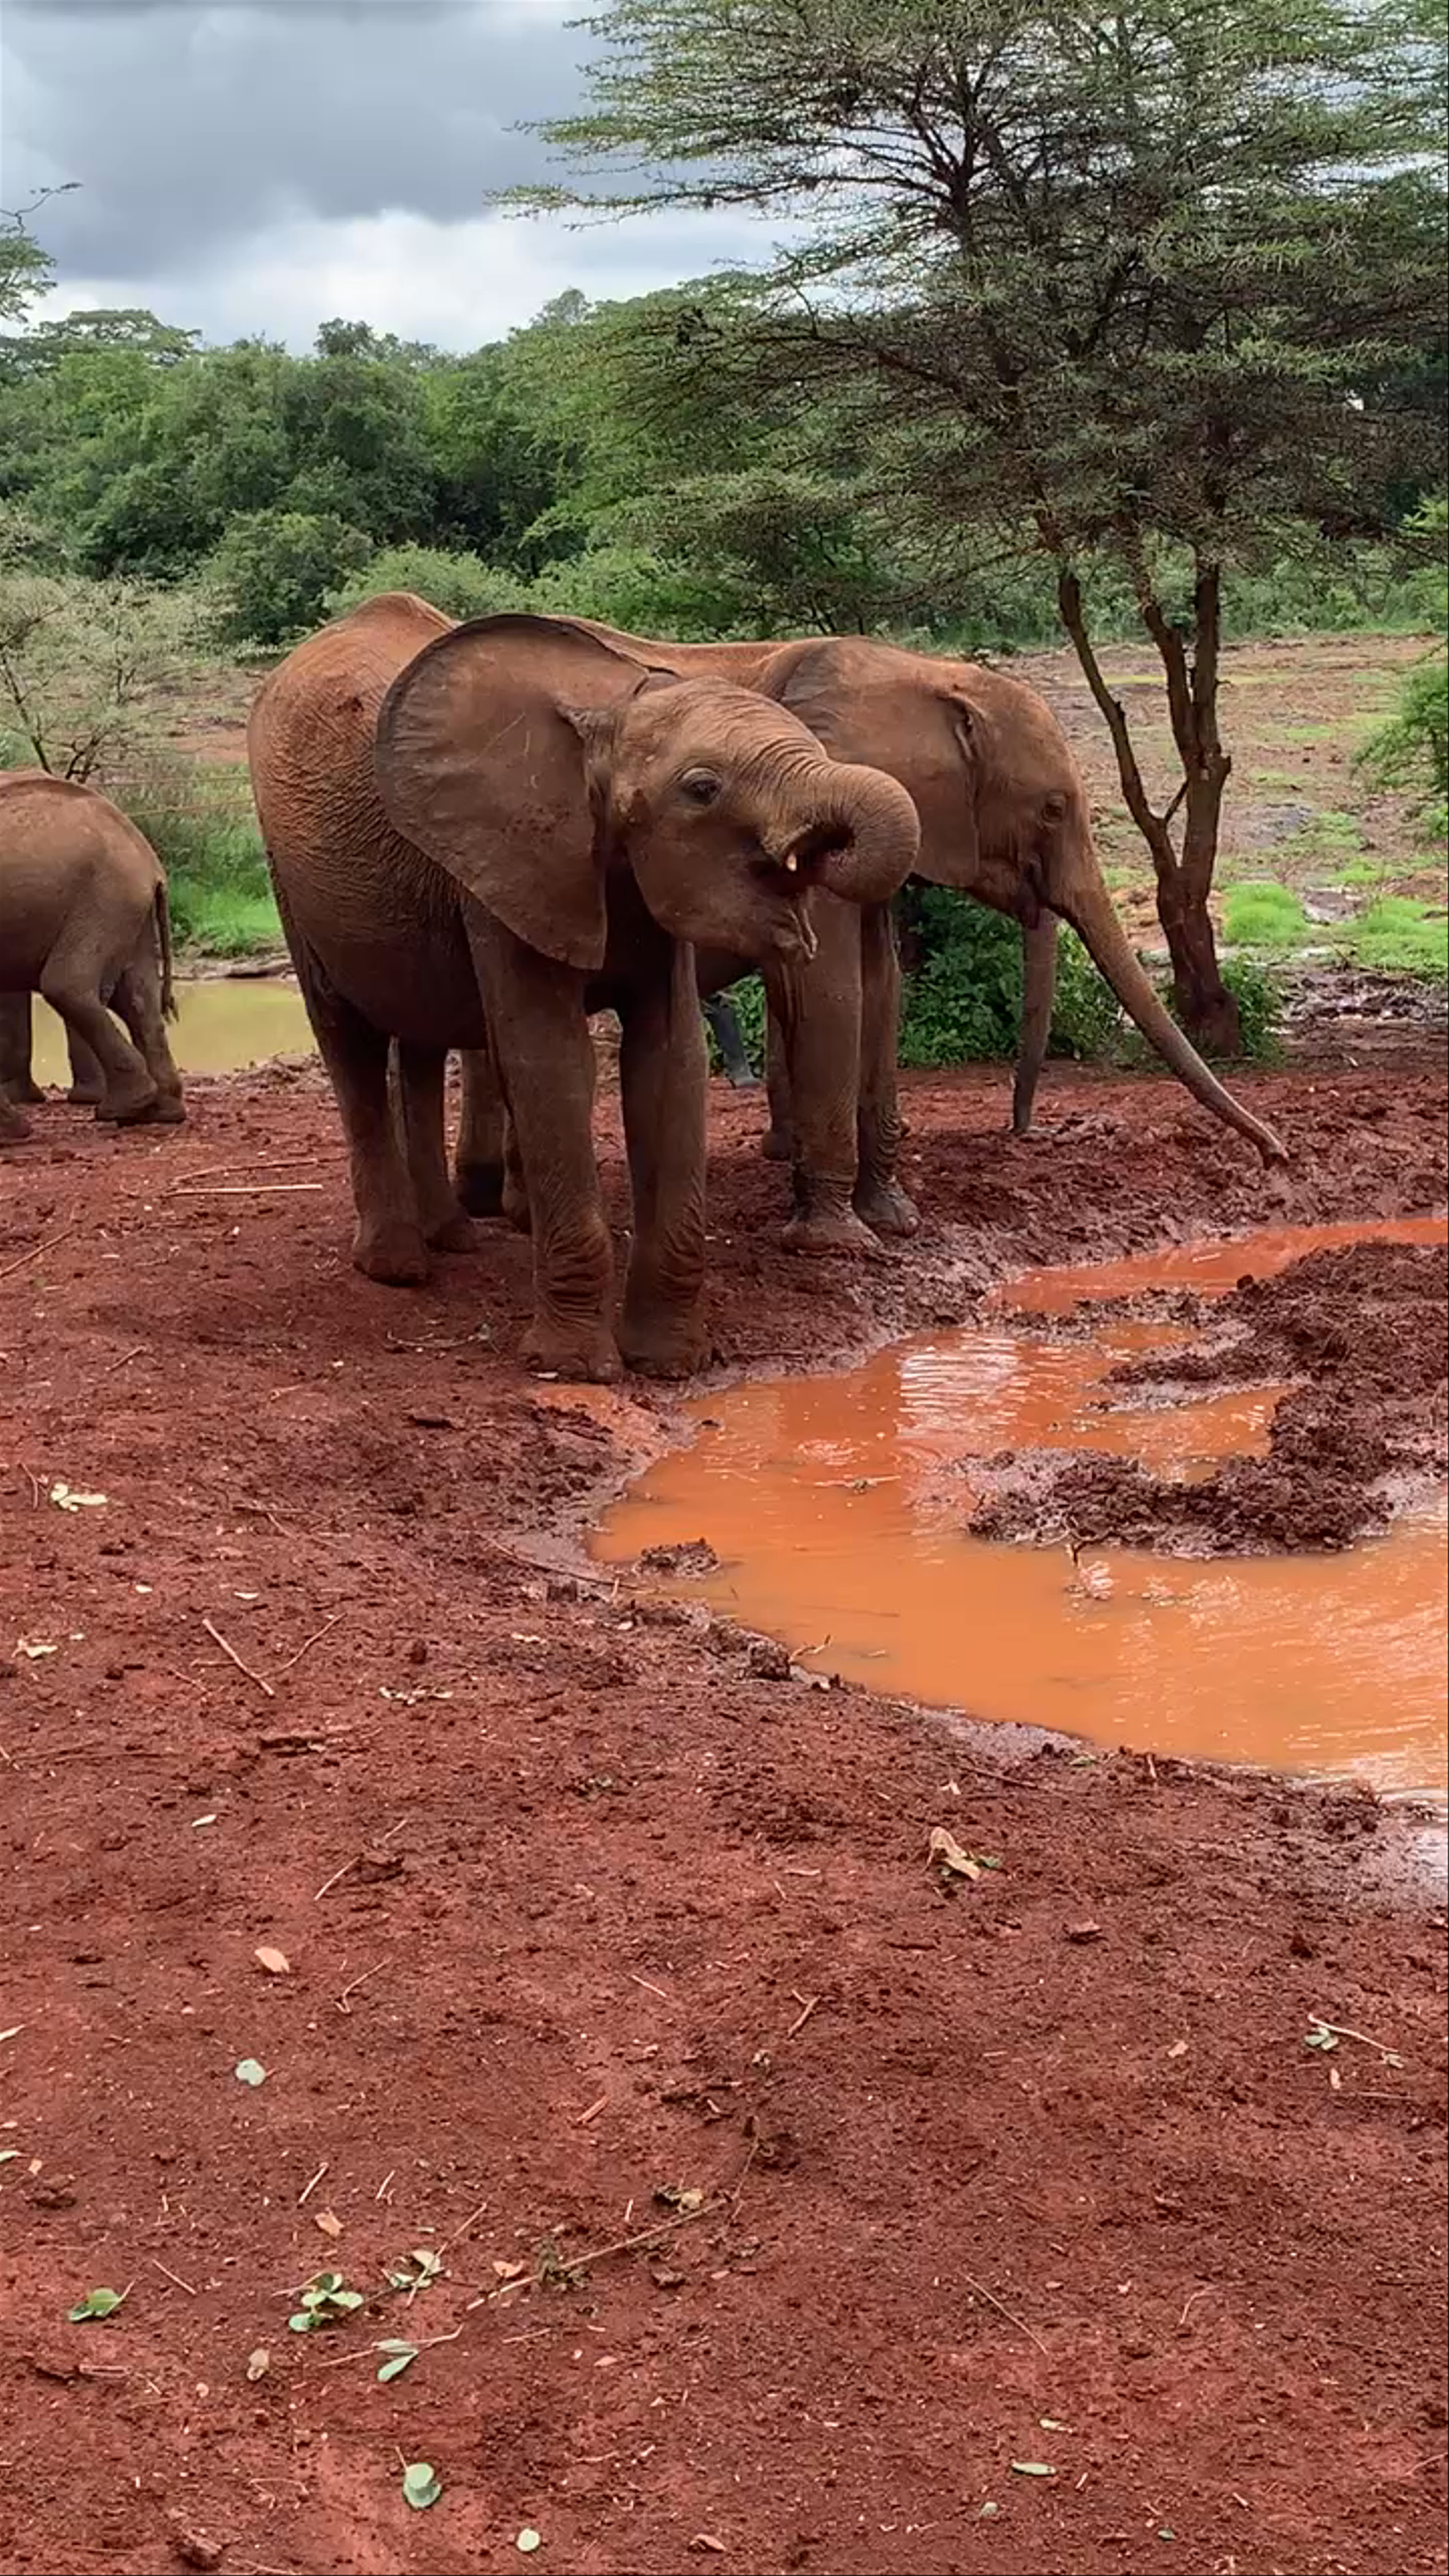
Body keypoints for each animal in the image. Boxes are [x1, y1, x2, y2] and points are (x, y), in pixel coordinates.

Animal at [0, 771, 184, 1128]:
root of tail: (153, 865)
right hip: (128, 909)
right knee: (138, 999)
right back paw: (160, 1113)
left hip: (105, 898)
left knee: (68, 985)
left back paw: (120, 1109)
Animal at [247, 595, 920, 1381]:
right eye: (702, 789)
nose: (816, 852)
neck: (614, 712)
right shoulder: (509, 856)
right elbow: (554, 1062)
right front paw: (574, 1365)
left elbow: (669, 1060)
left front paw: (670, 1362)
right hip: (291, 879)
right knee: (347, 1037)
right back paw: (398, 1267)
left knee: (418, 1042)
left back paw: (453, 1237)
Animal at [458, 628, 1284, 1250]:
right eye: (1053, 809)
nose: (1276, 1158)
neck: (926, 674)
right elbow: (834, 986)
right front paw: (837, 1240)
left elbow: (881, 987)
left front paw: (893, 1218)